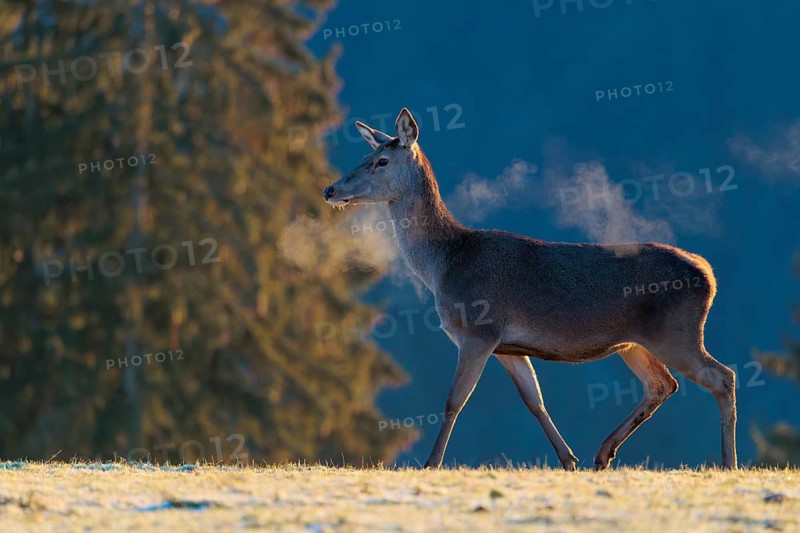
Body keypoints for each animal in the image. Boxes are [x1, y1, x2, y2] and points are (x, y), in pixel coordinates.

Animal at [322, 108, 737, 471]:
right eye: (365, 154)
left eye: (381, 162)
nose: (330, 190)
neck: (445, 265)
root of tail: (709, 275)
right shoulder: (508, 346)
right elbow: (535, 401)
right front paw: (568, 460)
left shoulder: (479, 331)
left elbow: (454, 401)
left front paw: (430, 463)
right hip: (634, 342)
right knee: (661, 384)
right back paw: (603, 454)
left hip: (676, 332)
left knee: (723, 377)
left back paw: (727, 463)